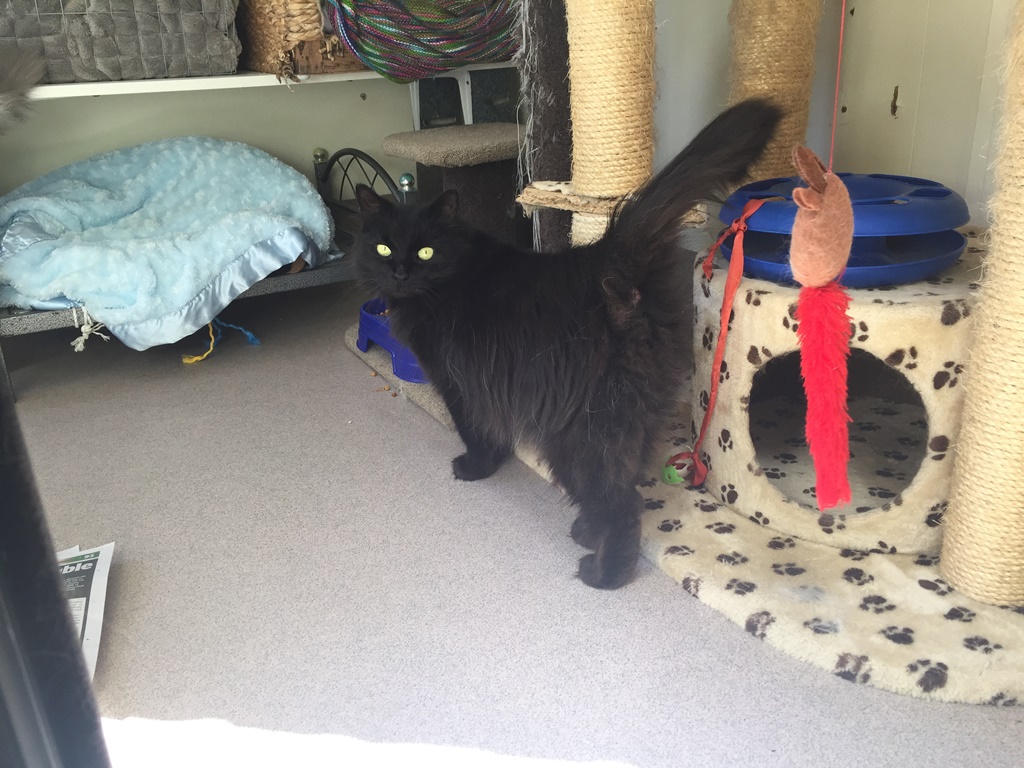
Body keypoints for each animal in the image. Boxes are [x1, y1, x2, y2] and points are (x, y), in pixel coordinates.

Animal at [354, 99, 782, 589]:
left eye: (425, 251)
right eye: (384, 248)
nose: (400, 272)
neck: (451, 277)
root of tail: (610, 259)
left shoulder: (458, 384)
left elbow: (475, 429)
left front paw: (477, 468)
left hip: (581, 433)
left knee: (623, 505)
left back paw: (603, 572)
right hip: (631, 414)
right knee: (626, 483)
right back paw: (587, 532)